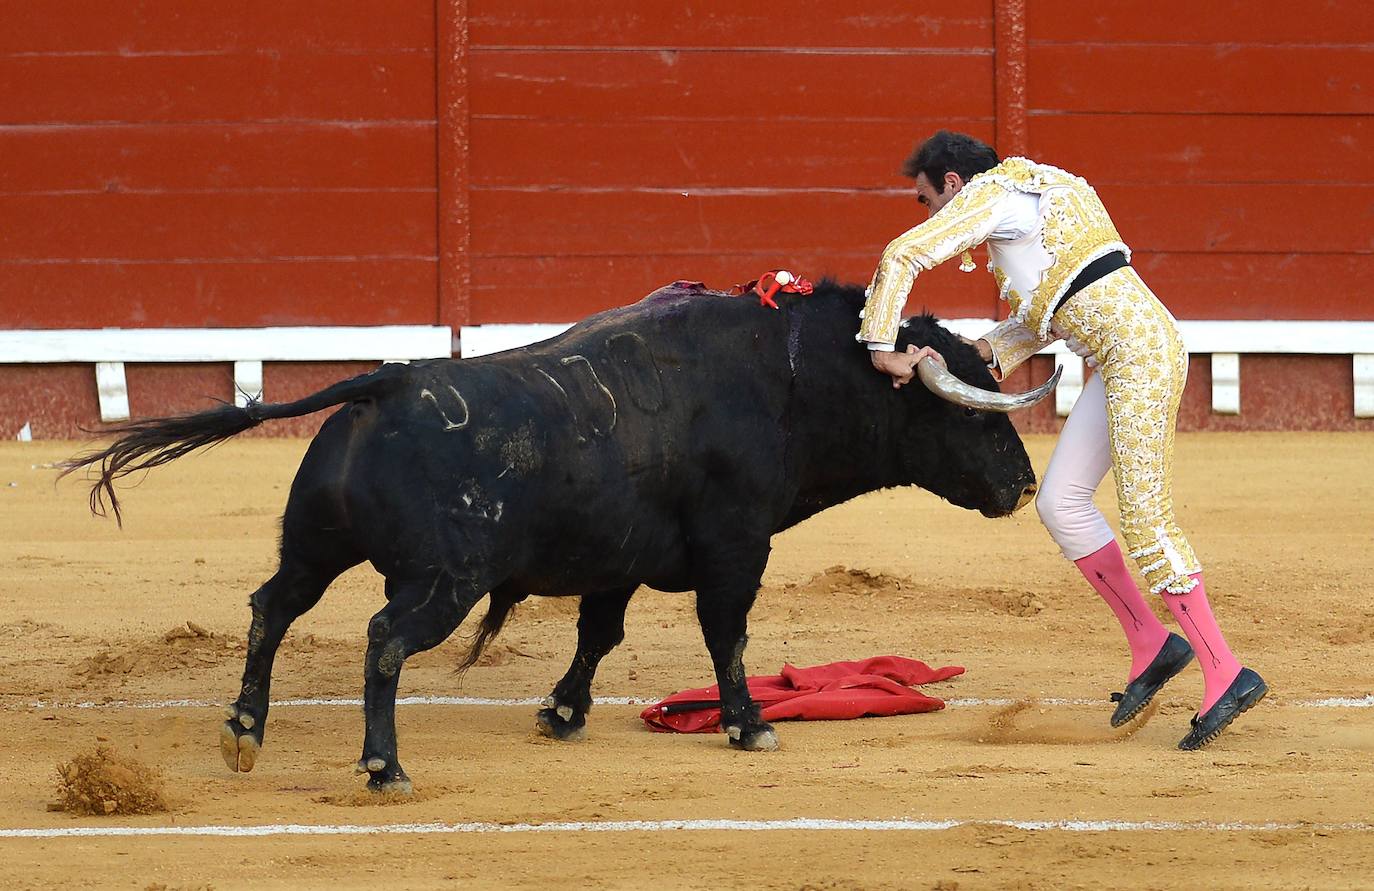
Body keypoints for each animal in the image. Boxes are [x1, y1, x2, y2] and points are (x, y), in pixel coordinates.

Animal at [64, 280, 1044, 792]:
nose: (1025, 484)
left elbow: (598, 634)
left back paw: (244, 729)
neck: (787, 380)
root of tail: (383, 384)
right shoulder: (735, 545)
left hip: (315, 545)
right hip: (442, 582)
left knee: (272, 606)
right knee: (383, 641)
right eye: (974, 414)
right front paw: (748, 724)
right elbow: (727, 634)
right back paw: (383, 765)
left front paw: (563, 712)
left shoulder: (619, 556)